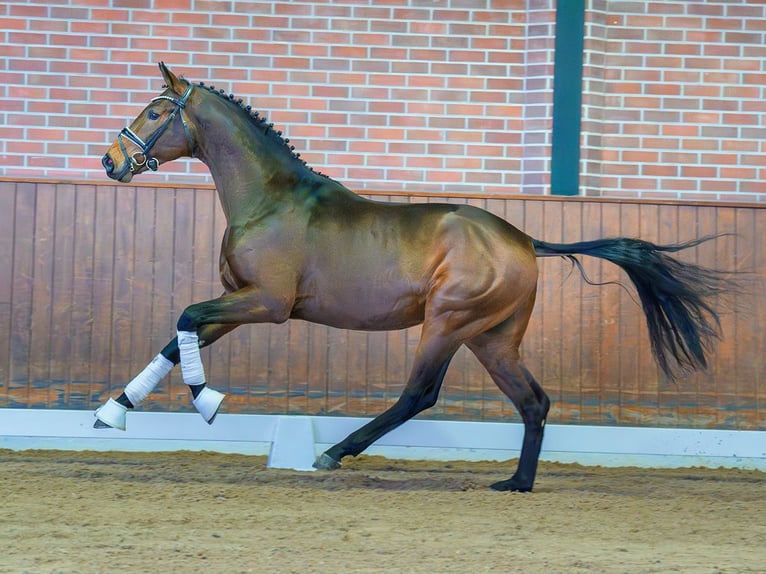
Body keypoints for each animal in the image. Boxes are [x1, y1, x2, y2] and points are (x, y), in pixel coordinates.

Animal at [96, 64, 728, 496]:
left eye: (156, 112)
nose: (111, 162)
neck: (270, 200)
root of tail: (524, 240)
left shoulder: (266, 303)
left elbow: (184, 320)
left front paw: (207, 403)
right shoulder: (237, 300)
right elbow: (178, 339)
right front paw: (112, 412)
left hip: (448, 322)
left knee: (420, 394)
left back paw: (335, 452)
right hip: (492, 337)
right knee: (533, 401)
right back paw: (516, 483)